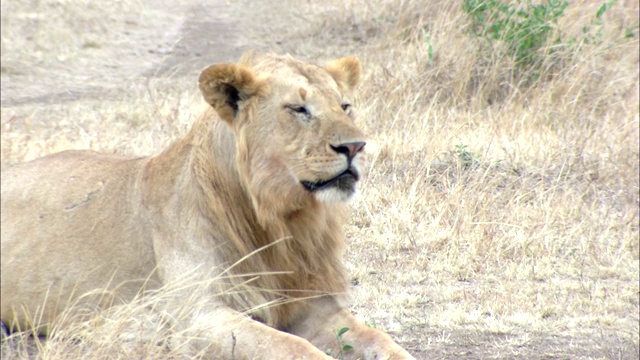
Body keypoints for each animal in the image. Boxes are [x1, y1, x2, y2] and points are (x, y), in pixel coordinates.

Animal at [0, 52, 416, 358]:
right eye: (299, 109)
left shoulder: (316, 306)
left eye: (345, 106)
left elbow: (379, 339)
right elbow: (293, 347)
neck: (284, 221)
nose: (356, 147)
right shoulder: (198, 316)